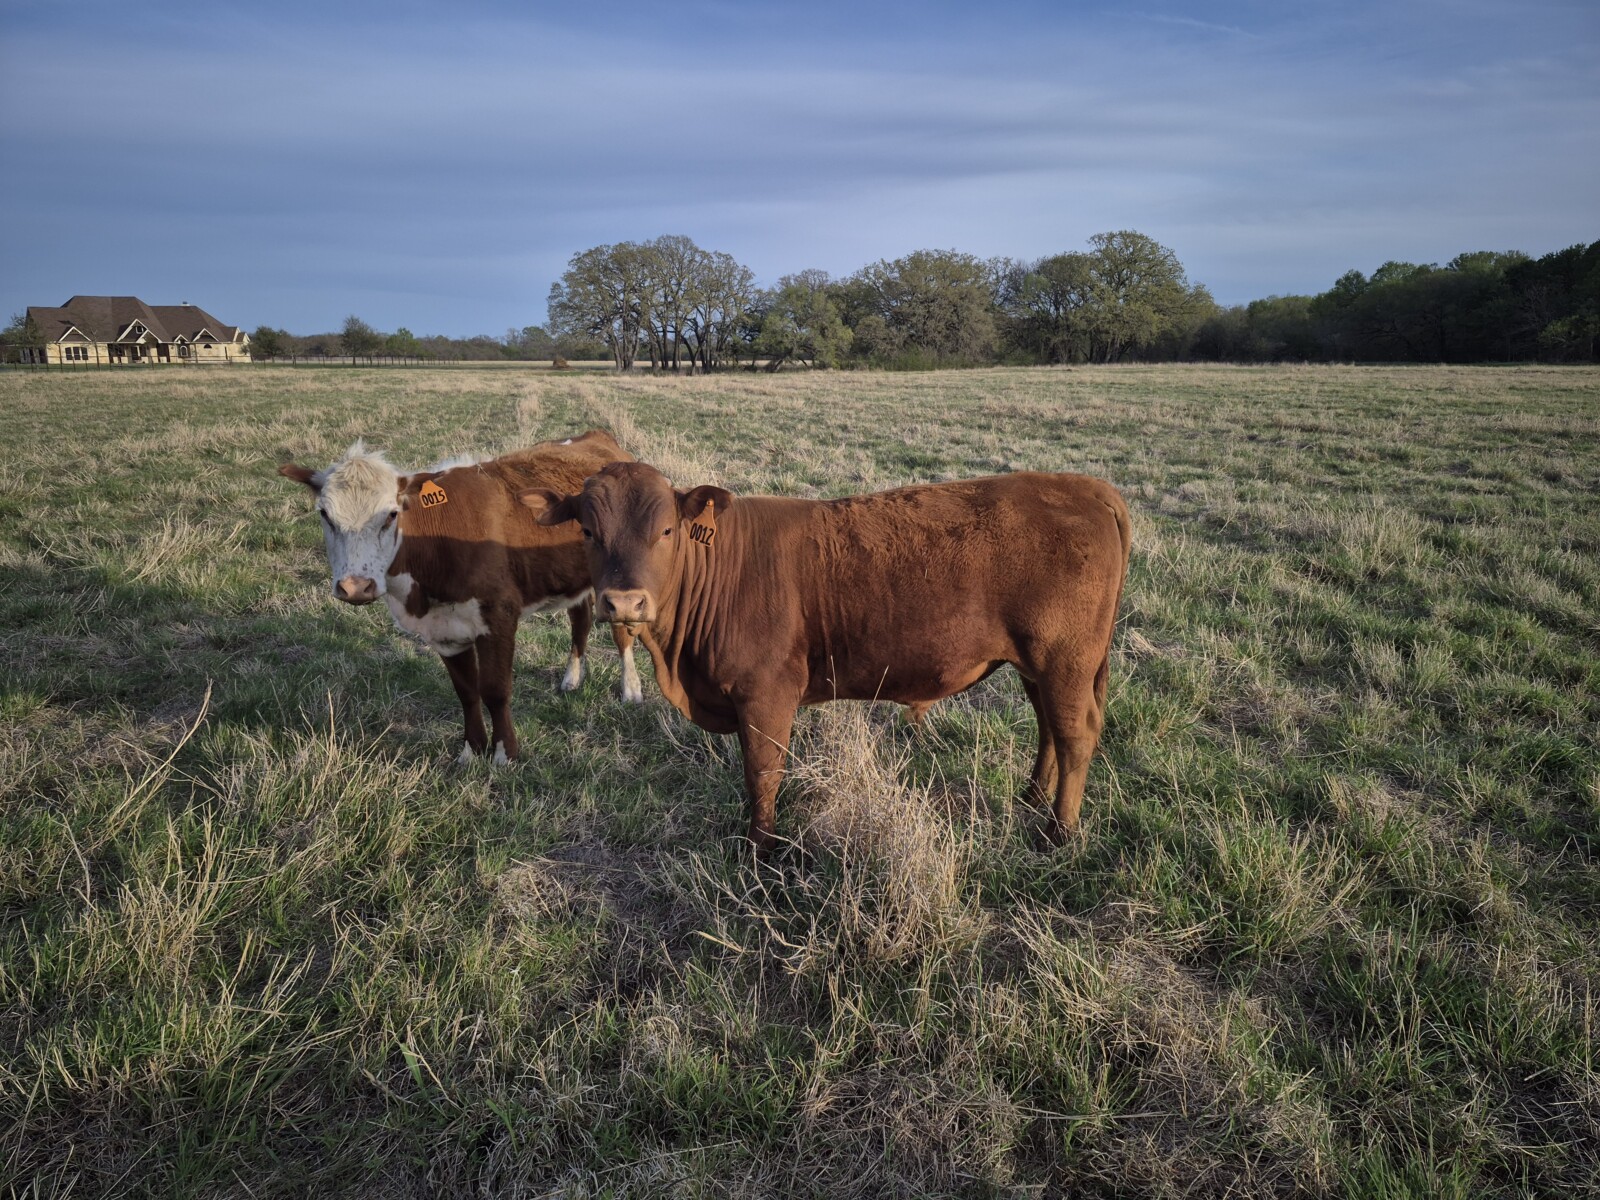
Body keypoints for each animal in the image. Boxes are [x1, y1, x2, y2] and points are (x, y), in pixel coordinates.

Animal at [279, 430, 643, 765]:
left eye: (392, 514)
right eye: (325, 515)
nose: (356, 586)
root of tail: (600, 438)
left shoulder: (498, 617)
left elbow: (495, 690)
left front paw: (504, 755)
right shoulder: (444, 630)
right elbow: (467, 691)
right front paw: (471, 751)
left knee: (622, 631)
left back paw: (631, 689)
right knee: (580, 620)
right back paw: (572, 678)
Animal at [521, 461, 1131, 851]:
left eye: (667, 530)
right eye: (588, 530)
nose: (624, 602)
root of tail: (1083, 486)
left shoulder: (765, 697)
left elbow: (762, 773)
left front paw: (761, 848)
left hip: (1065, 659)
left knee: (1075, 734)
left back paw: (1058, 834)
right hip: (1037, 665)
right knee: (1049, 726)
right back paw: (1031, 799)